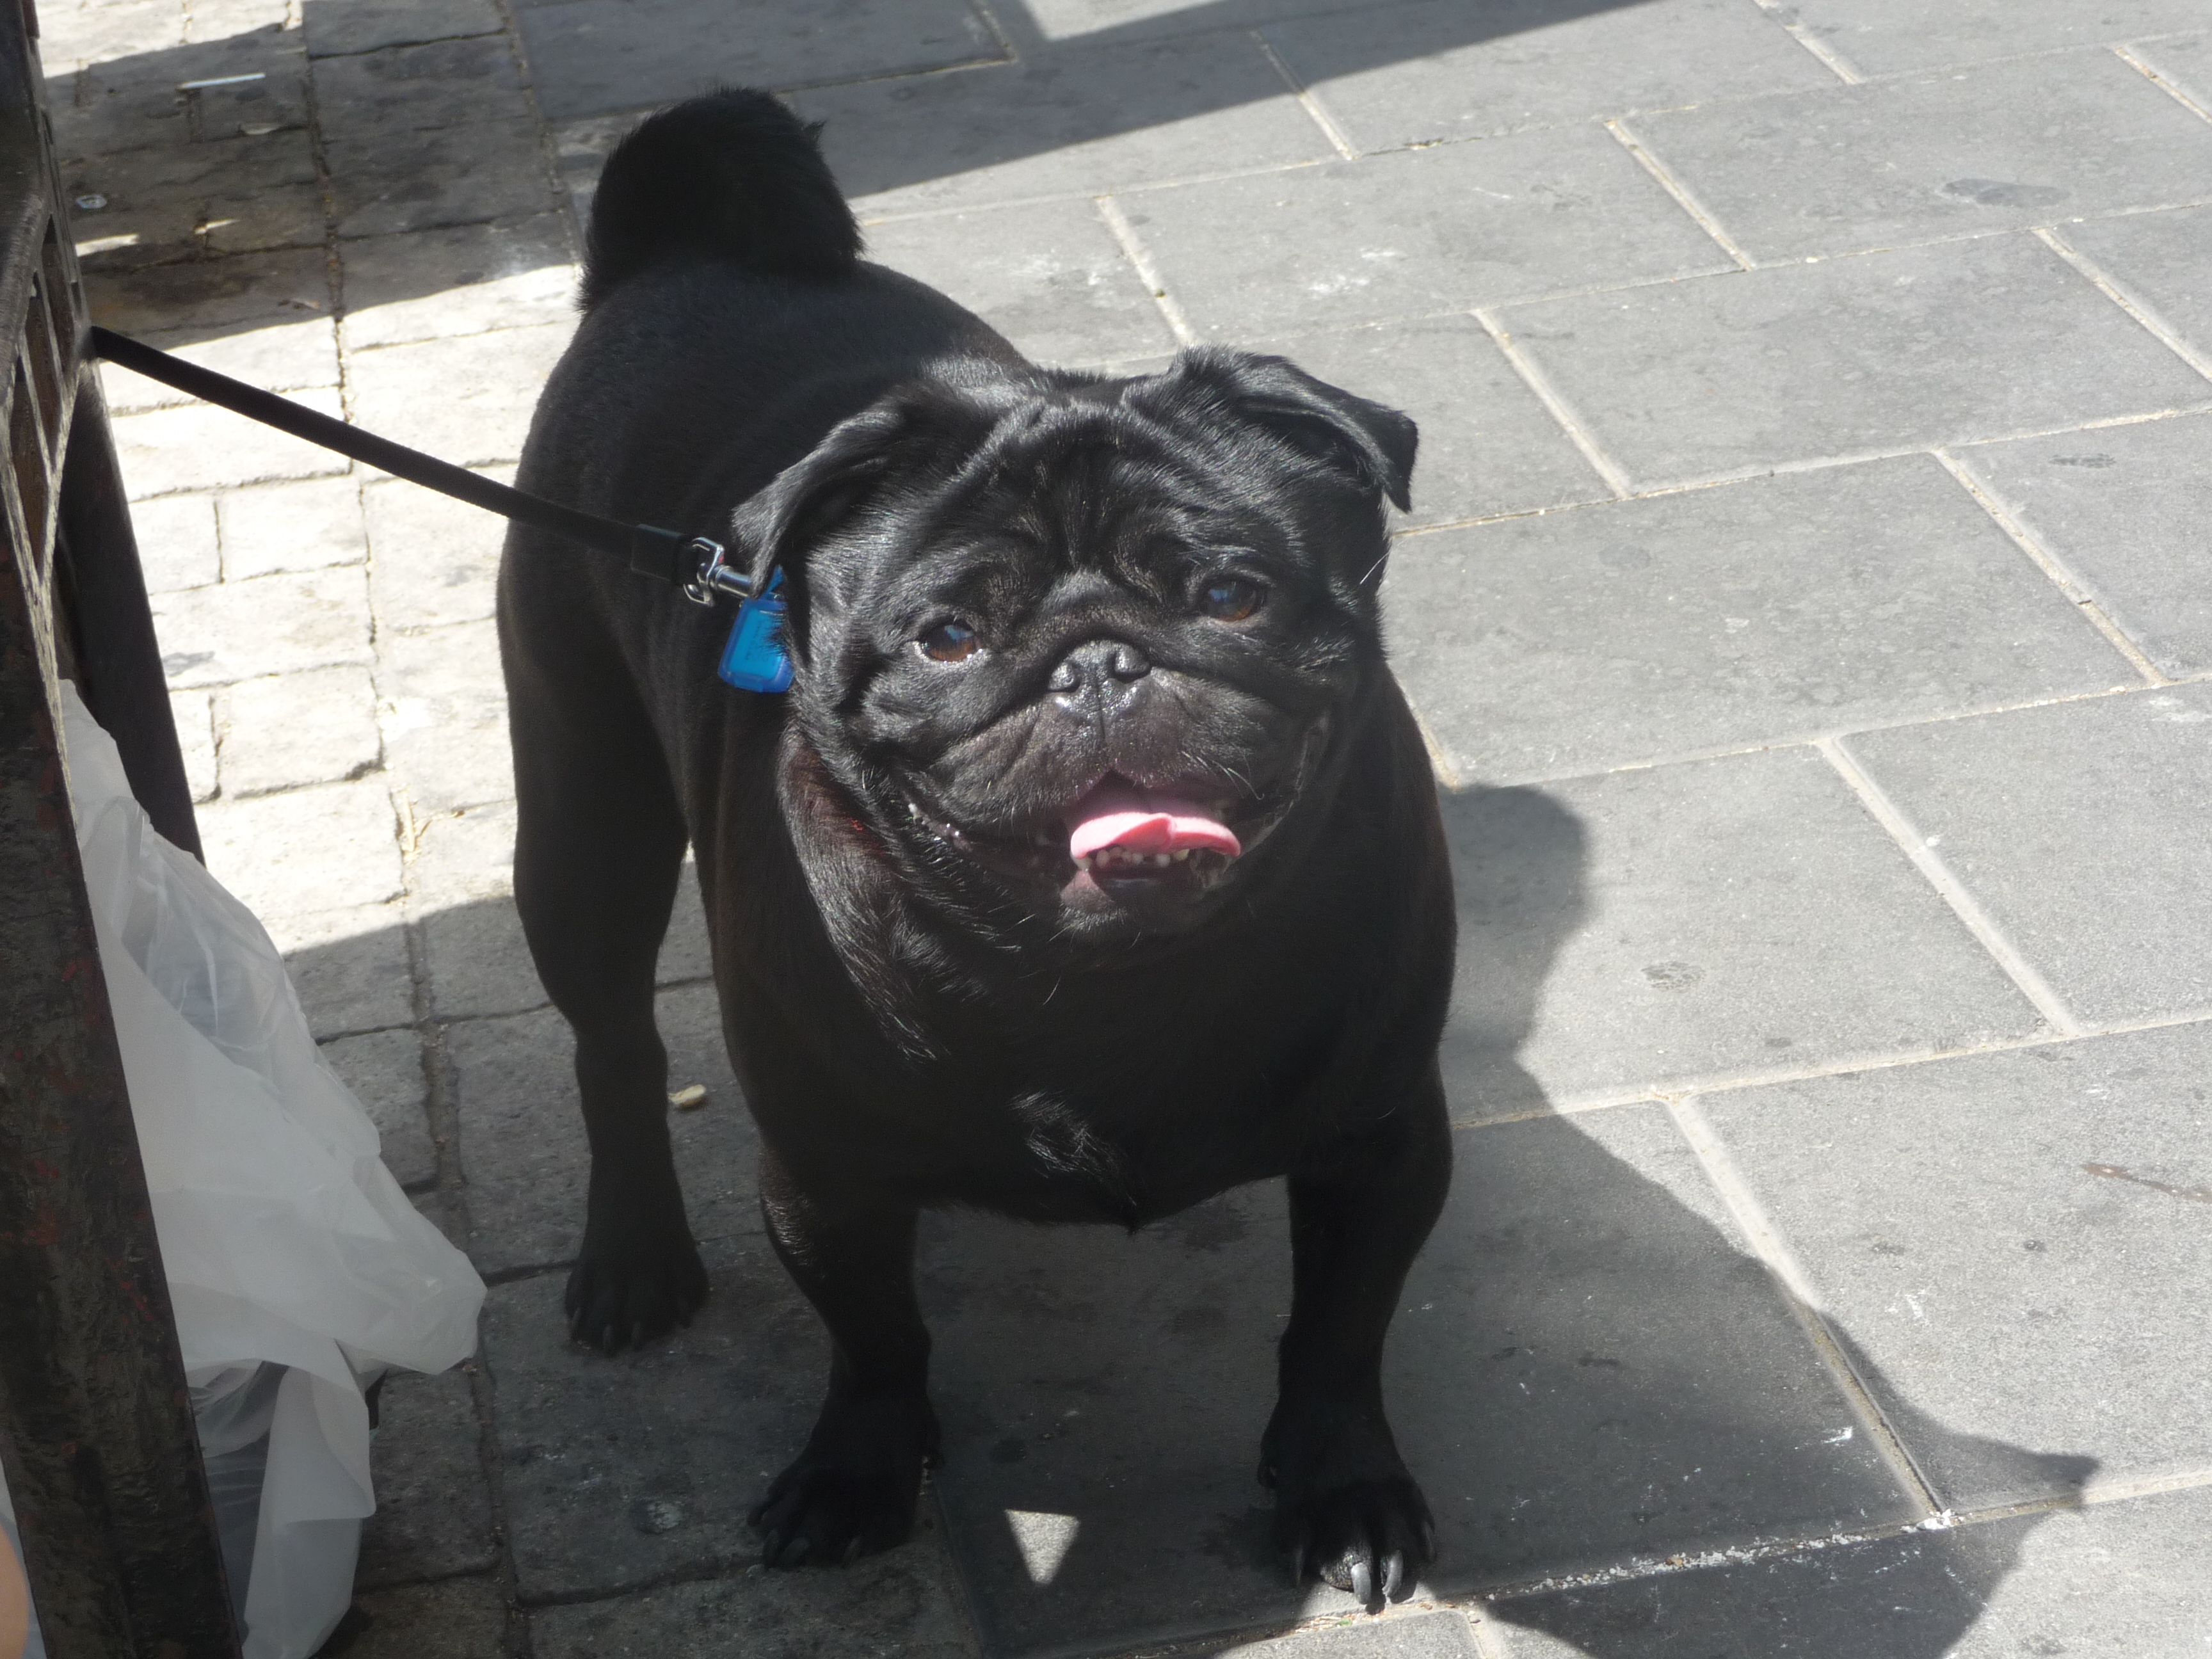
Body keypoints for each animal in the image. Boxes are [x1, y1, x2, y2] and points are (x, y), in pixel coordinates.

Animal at [498, 89, 1456, 1603]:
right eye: (947, 638)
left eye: (1232, 598)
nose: (1098, 661)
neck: (1105, 981)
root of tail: (688, 257)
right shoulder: (824, 1176)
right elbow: (878, 1342)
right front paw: (859, 1471)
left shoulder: (1381, 1138)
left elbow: (1340, 1332)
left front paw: (1342, 1485)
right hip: (583, 827)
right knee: (614, 1045)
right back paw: (634, 1256)